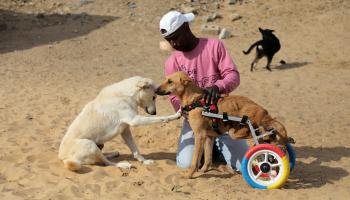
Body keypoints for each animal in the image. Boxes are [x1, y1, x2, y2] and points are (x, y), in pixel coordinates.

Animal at [156, 71, 292, 178]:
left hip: (238, 130)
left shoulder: (199, 136)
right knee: (267, 136)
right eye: (165, 79)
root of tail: (264, 112)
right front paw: (204, 170)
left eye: (170, 81)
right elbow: (208, 158)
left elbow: (195, 161)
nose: (156, 90)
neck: (196, 100)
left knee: (260, 134)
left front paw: (189, 175)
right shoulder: (209, 137)